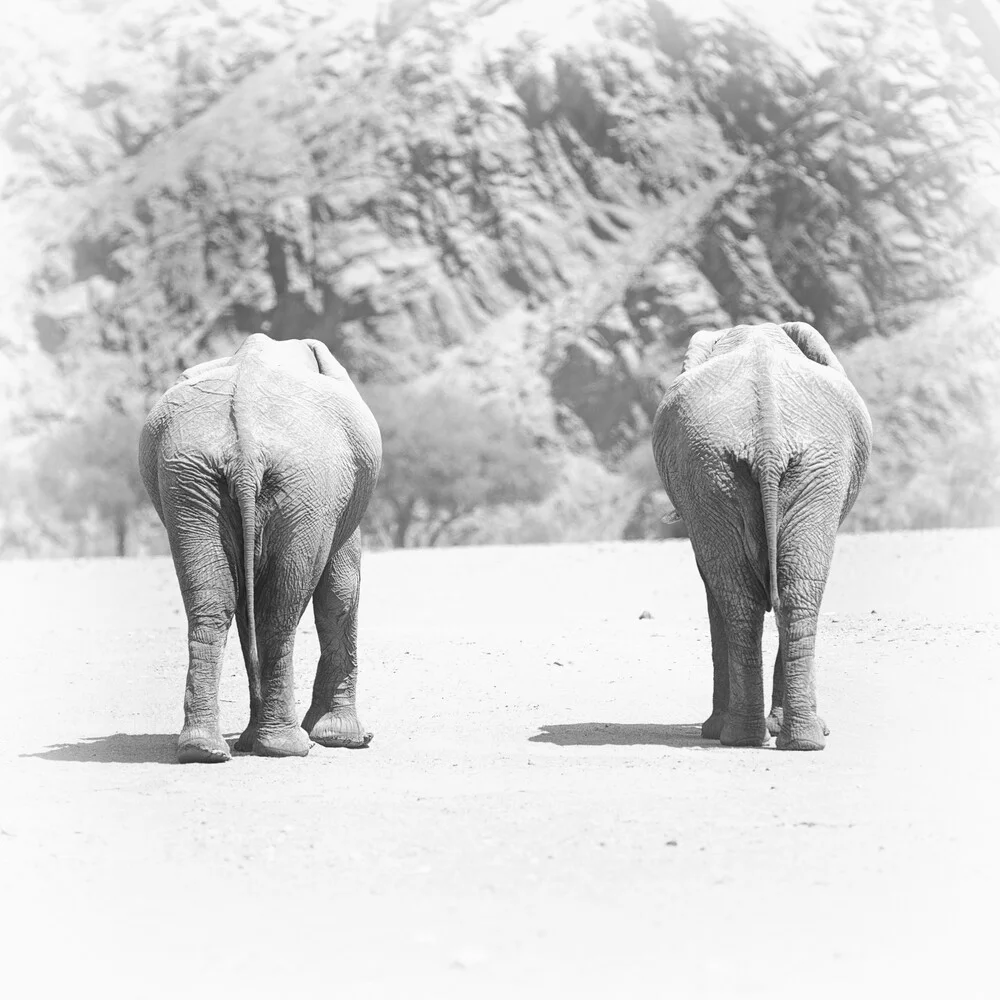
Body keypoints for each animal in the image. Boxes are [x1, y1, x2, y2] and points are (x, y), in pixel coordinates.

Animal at [137, 332, 378, 760]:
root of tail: (245, 446)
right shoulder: (339, 502)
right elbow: (341, 590)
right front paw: (348, 739)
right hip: (306, 485)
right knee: (279, 610)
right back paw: (286, 746)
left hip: (189, 481)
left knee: (214, 603)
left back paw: (206, 749)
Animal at [652, 320, 872, 752]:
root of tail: (767, 440)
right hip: (722, 473)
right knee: (775, 598)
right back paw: (761, 737)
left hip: (773, 472)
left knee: (777, 597)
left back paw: (775, 738)